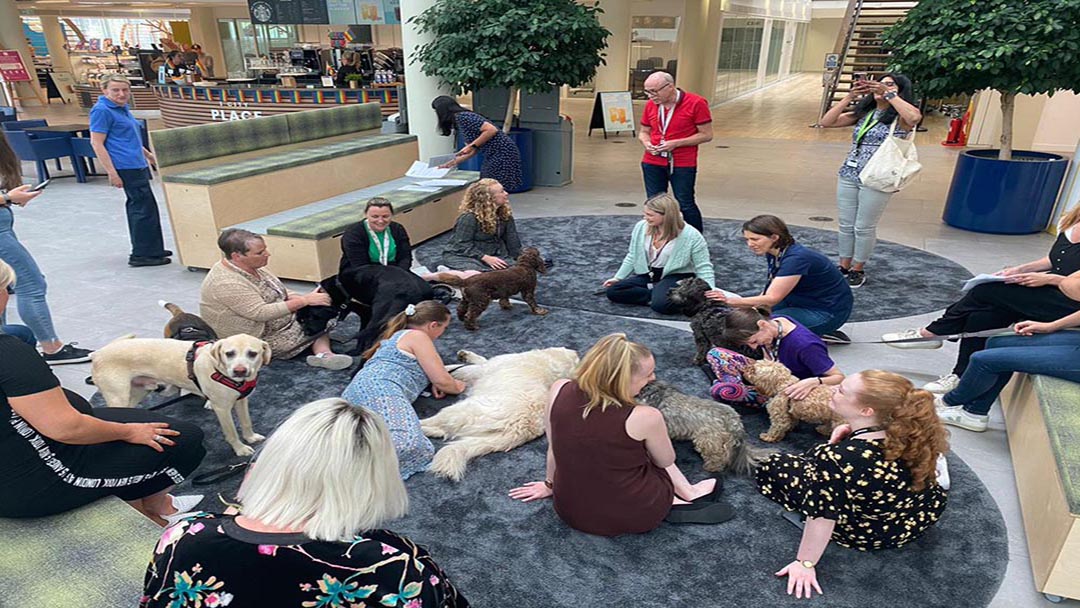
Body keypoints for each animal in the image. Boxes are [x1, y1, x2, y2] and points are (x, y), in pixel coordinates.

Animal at [92, 334, 272, 460]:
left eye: (252, 353)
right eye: (229, 354)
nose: (239, 370)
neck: (220, 369)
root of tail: (98, 353)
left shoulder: (241, 401)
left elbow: (246, 422)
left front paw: (250, 437)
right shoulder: (222, 408)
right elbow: (232, 432)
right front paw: (240, 449)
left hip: (138, 392)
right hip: (118, 397)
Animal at [416, 349, 578, 483]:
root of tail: (520, 427)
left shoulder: (482, 369)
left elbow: (458, 367)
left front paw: (454, 363)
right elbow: (479, 360)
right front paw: (464, 355)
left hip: (461, 410)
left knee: (435, 425)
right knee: (443, 431)